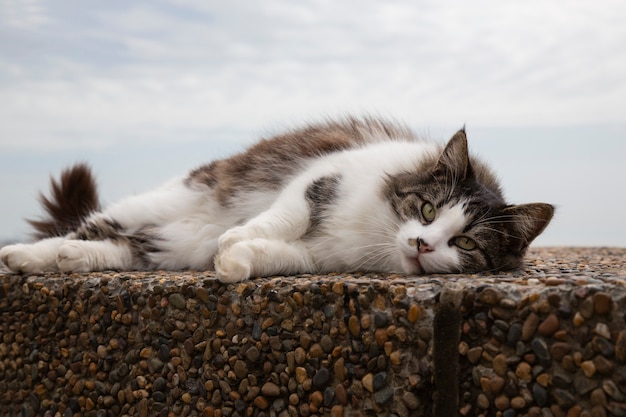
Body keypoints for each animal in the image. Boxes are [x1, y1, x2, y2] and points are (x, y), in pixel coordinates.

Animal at [3, 115, 552, 282]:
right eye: (428, 209)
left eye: (465, 243)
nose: (422, 244)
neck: (376, 235)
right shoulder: (320, 179)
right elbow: (282, 219)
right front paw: (234, 239)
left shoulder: (317, 257)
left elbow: (272, 254)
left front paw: (232, 262)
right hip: (158, 203)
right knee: (85, 227)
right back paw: (25, 257)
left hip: (168, 247)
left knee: (115, 248)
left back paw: (73, 258)